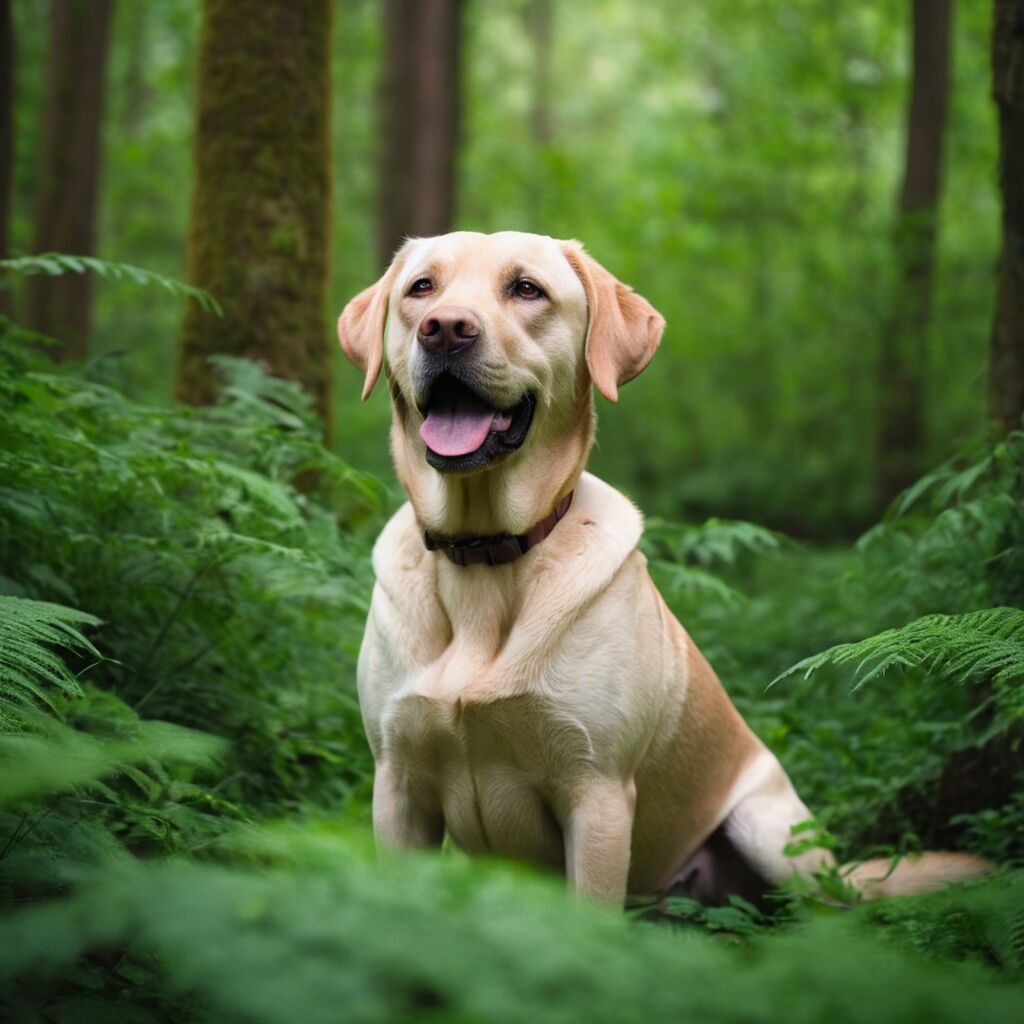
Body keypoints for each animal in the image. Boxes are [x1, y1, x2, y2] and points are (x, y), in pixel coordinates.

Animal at [339, 232, 987, 905]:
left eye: (526, 289)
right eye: (422, 289)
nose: (445, 329)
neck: (484, 549)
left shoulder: (596, 793)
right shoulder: (398, 784)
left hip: (774, 836)